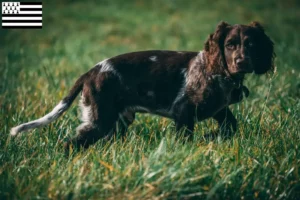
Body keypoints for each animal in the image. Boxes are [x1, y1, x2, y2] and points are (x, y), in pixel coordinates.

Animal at [11, 21, 274, 151]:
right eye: (229, 45)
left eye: (251, 45)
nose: (242, 62)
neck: (220, 74)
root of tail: (91, 71)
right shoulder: (183, 111)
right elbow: (186, 138)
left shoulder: (218, 109)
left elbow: (231, 126)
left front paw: (212, 136)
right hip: (100, 120)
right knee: (71, 144)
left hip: (116, 124)